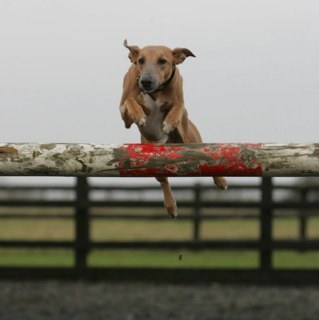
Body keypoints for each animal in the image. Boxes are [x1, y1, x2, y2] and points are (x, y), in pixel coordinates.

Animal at [120, 40, 228, 218]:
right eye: (141, 60)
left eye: (162, 61)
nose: (146, 81)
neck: (156, 91)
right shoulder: (125, 117)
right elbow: (129, 101)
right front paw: (139, 114)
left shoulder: (179, 98)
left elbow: (179, 105)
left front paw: (170, 122)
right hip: (151, 159)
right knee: (164, 180)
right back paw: (171, 206)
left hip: (190, 140)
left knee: (205, 157)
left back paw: (221, 180)